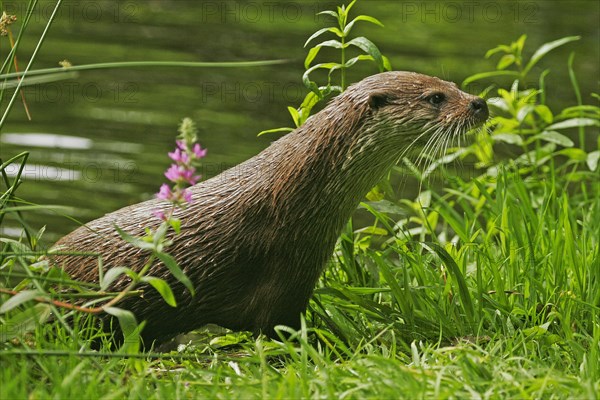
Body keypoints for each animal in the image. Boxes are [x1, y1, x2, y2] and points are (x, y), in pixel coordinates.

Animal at [51, 72, 488, 346]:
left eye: (452, 85)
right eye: (435, 97)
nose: (479, 103)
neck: (294, 198)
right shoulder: (285, 282)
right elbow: (282, 328)